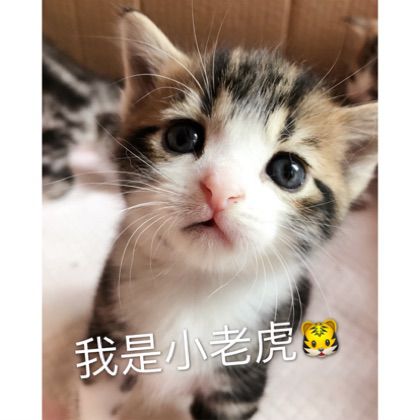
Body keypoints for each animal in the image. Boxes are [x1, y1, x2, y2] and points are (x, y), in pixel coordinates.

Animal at [78, 10, 377, 420]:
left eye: (289, 171)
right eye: (182, 137)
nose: (219, 190)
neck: (196, 287)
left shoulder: (240, 380)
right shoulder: (105, 334)